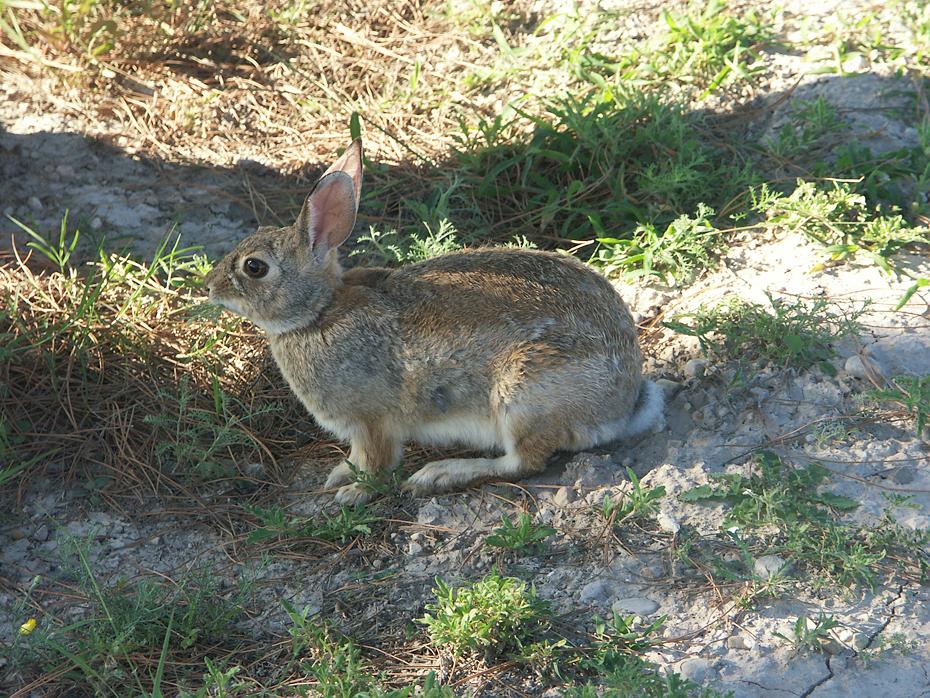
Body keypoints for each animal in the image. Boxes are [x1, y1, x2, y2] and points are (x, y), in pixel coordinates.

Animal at [204, 139, 665, 505]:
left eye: (254, 267)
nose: (210, 286)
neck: (319, 313)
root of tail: (622, 403)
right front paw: (339, 473)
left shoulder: (371, 422)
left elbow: (376, 464)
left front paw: (353, 492)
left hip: (522, 394)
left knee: (523, 462)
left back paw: (440, 474)